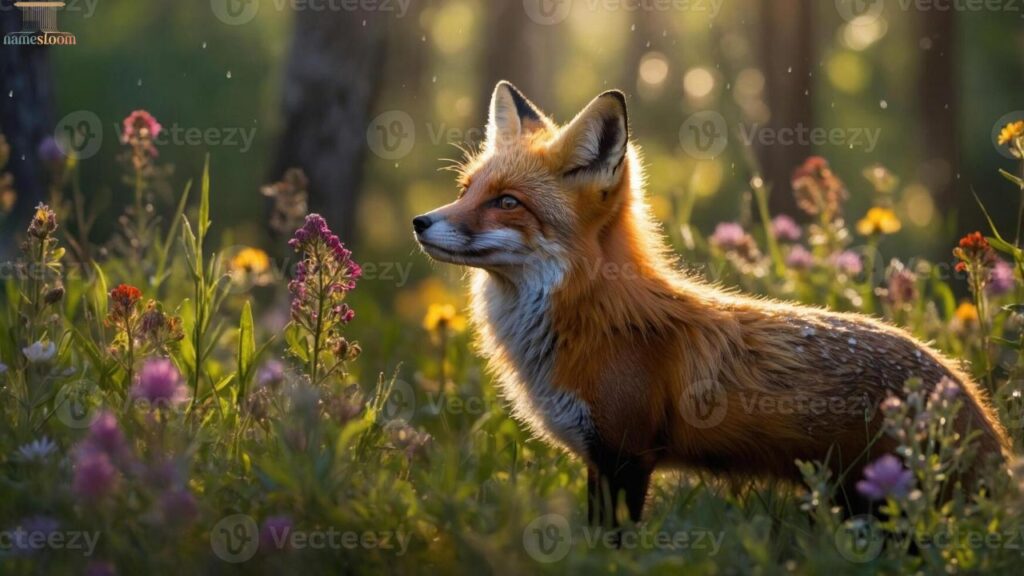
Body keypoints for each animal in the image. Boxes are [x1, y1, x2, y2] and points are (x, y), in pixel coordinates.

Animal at [412, 81, 1013, 527]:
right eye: (466, 190)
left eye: (507, 202)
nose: (421, 222)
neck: (592, 316)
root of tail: (973, 401)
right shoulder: (599, 460)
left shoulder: (625, 456)